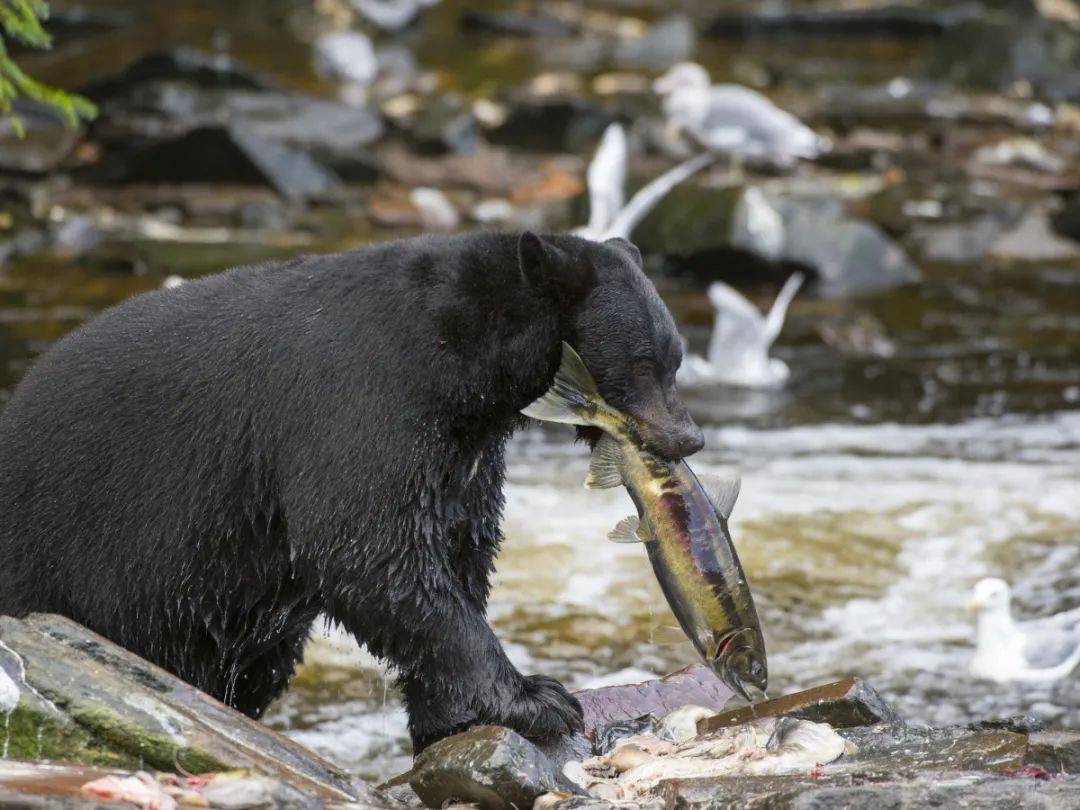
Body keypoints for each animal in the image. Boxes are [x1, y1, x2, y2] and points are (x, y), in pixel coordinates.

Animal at [0, 231, 704, 751]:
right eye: (644, 362)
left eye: (676, 358)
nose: (688, 437)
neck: (460, 358)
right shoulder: (361, 403)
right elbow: (370, 550)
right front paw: (537, 699)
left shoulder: (461, 454)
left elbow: (459, 548)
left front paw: (450, 713)